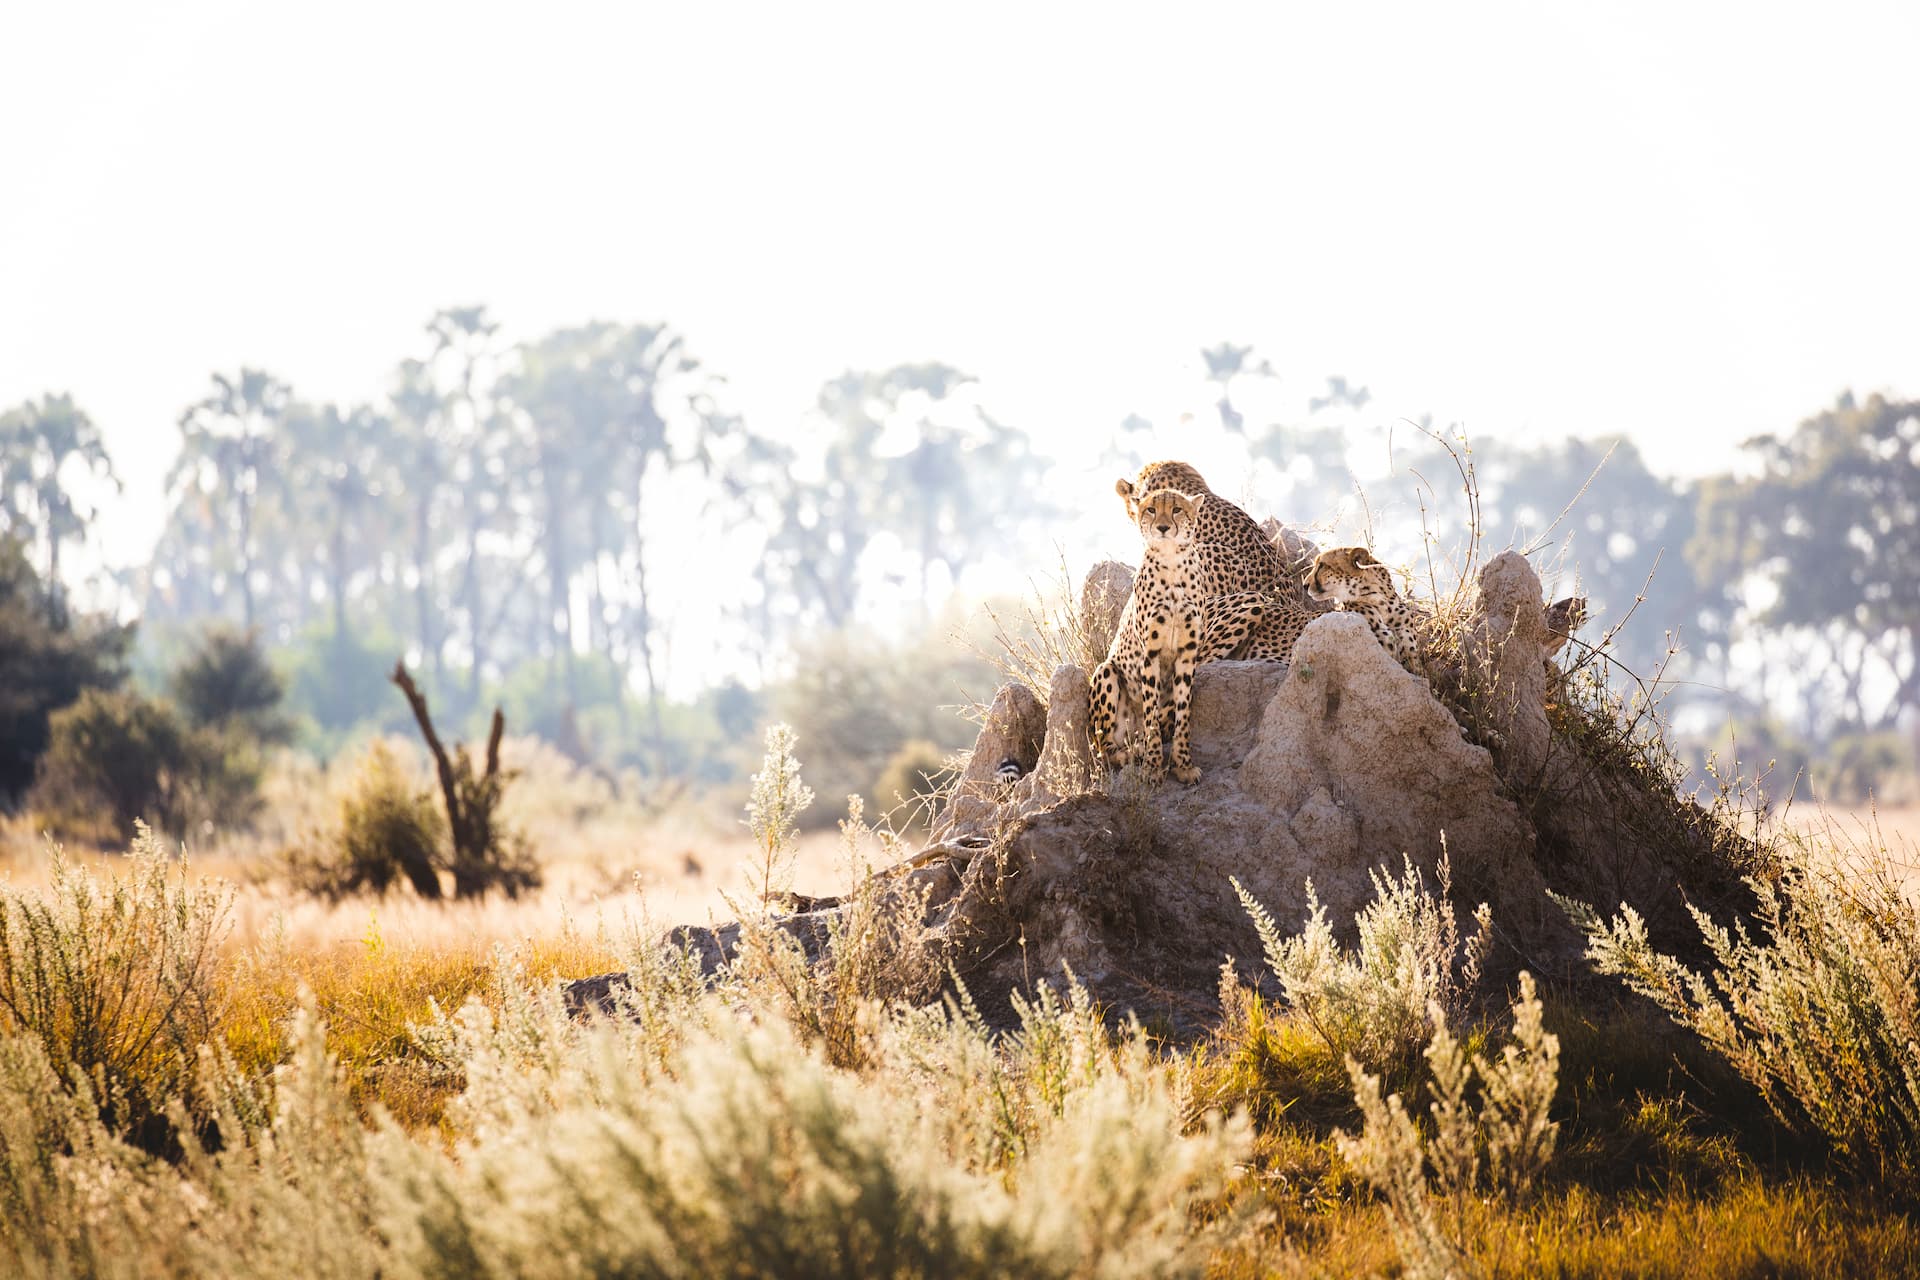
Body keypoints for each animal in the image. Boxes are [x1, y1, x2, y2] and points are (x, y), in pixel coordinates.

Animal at [1090, 487, 1317, 783]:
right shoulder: (1150, 654)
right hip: (1106, 671)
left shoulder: (1187, 653)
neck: (1172, 566)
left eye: (1176, 509)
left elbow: (1183, 709)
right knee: (1103, 745)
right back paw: (1129, 753)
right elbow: (1152, 713)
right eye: (1151, 509)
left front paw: (1183, 765)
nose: (1163, 527)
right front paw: (1153, 768)